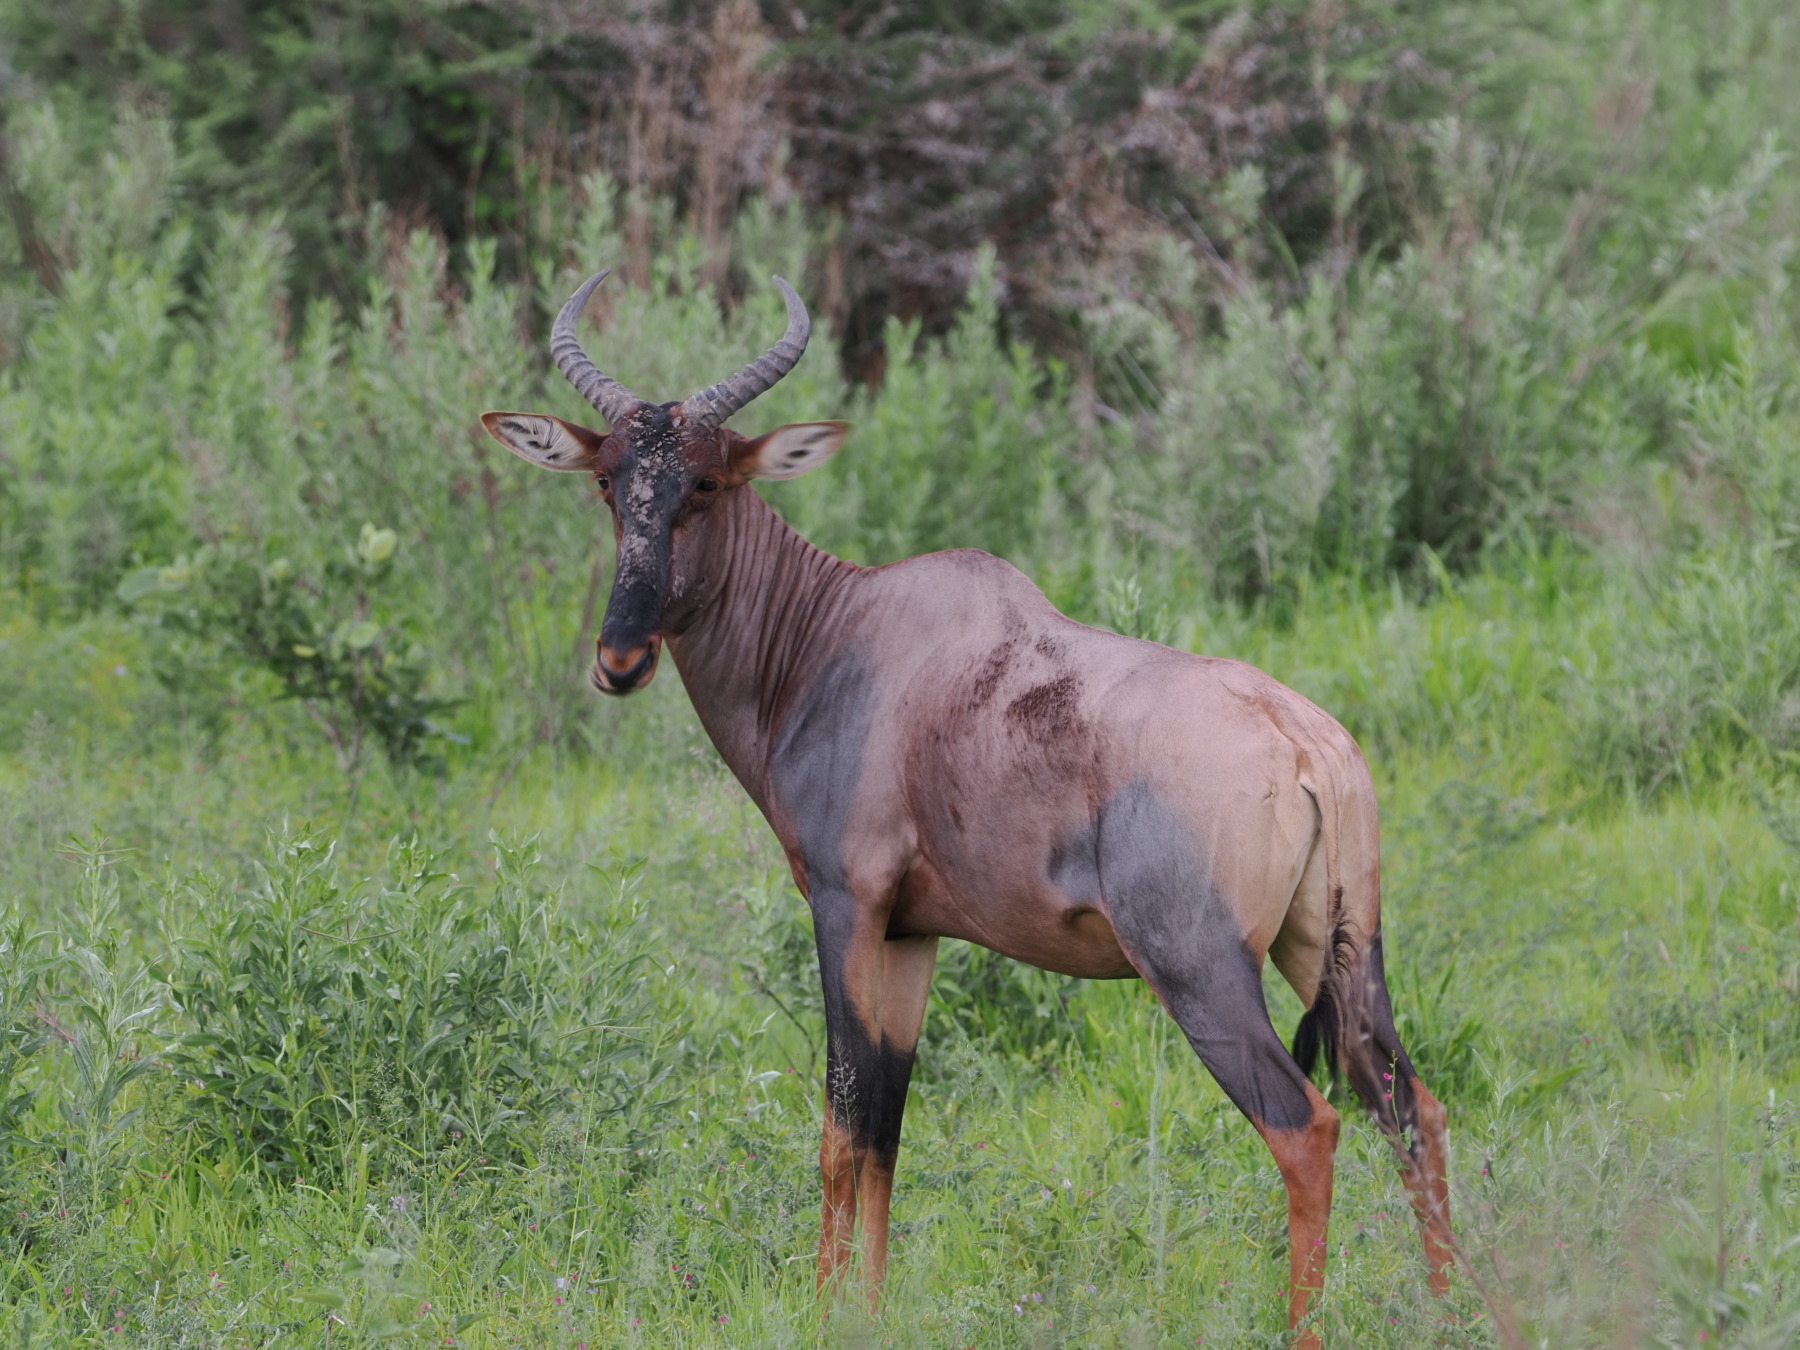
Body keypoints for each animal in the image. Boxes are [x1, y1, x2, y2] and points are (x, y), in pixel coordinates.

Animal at [481, 269, 1455, 1342]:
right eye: (609, 480)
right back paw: (1451, 1307)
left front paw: (826, 1309)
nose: (620, 659)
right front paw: (867, 1305)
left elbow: (840, 1119)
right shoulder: (914, 933)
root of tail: (1304, 740)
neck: (840, 634)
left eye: (707, 480)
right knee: (1409, 1105)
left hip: (1199, 967)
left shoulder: (847, 905)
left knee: (1306, 1125)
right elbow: (886, 1123)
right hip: (1336, 952)